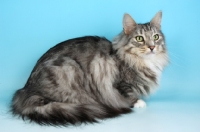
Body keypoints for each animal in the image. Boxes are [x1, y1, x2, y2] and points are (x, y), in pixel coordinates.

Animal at [11, 11, 169, 126]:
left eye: (156, 37)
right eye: (139, 39)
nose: (152, 47)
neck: (142, 62)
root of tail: (25, 90)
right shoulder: (118, 83)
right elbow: (128, 94)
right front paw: (138, 102)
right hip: (69, 68)